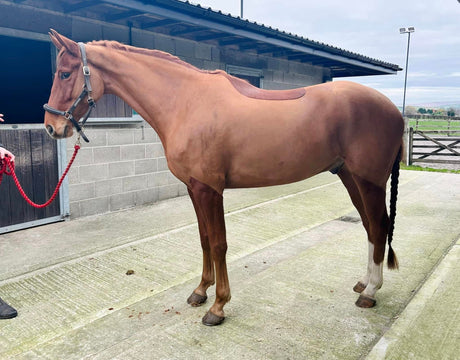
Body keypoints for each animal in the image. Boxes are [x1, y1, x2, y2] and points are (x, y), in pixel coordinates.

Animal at [43, 29, 402, 324]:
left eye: (64, 73)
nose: (51, 127)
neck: (185, 101)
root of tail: (395, 111)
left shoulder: (209, 189)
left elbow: (218, 243)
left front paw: (218, 306)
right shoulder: (194, 188)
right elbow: (203, 239)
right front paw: (200, 291)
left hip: (369, 181)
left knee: (379, 225)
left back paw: (371, 291)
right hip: (349, 177)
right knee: (370, 227)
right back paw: (363, 283)